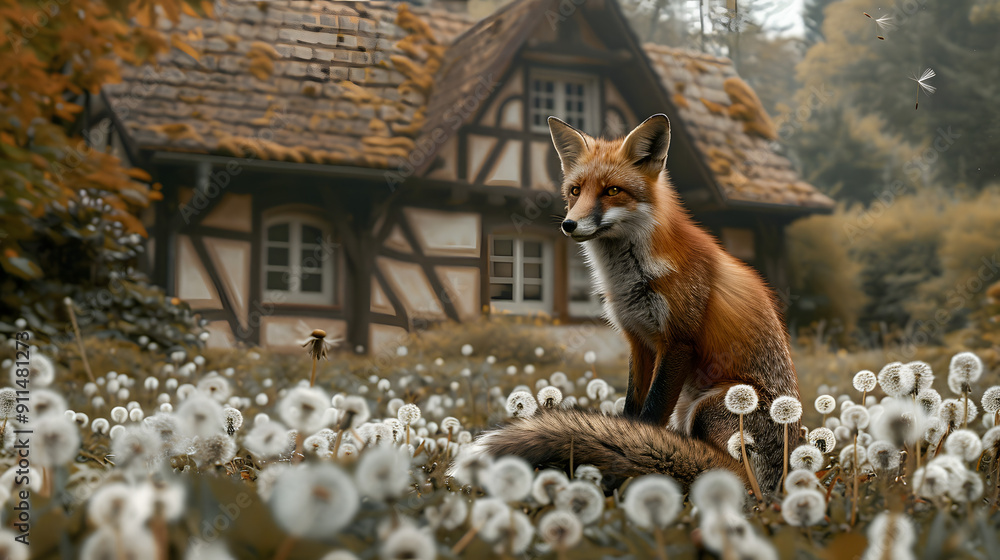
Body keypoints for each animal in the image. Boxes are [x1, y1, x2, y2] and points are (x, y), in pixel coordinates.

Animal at [473, 114, 801, 494]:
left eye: (612, 191)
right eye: (575, 191)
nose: (569, 224)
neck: (631, 278)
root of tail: (787, 477)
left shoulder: (677, 342)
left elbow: (650, 417)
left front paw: (632, 474)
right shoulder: (640, 341)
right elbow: (632, 413)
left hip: (712, 404)